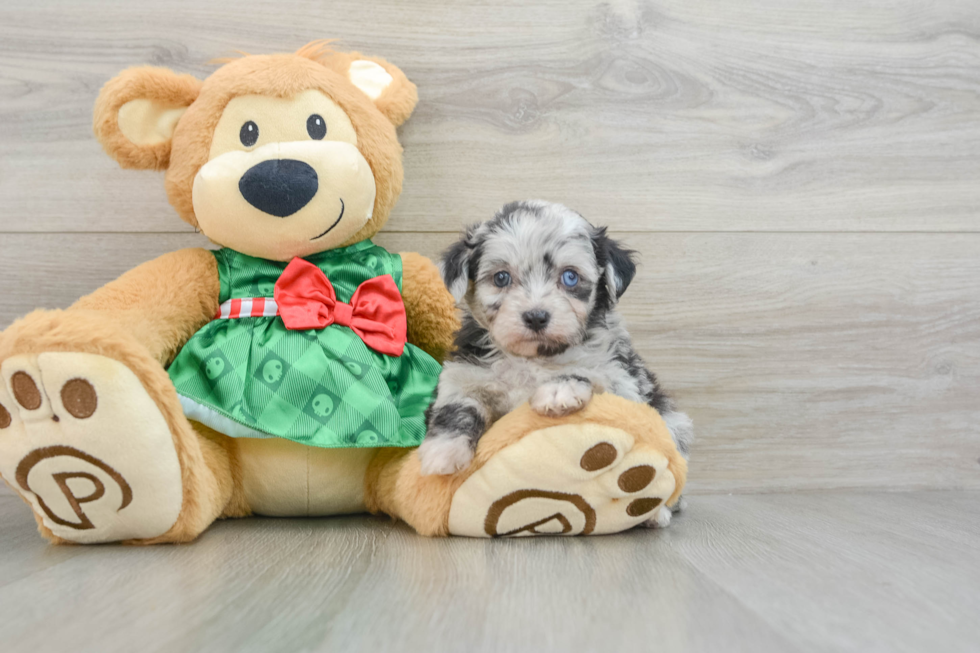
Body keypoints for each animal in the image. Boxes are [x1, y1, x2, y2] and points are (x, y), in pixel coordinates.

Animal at [418, 199, 692, 524]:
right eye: (501, 278)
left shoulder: (623, 382)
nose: (536, 316)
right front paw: (443, 451)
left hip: (673, 424)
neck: (534, 358)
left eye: (570, 277)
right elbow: (457, 405)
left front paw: (559, 390)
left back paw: (655, 512)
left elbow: (590, 371)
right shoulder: (464, 373)